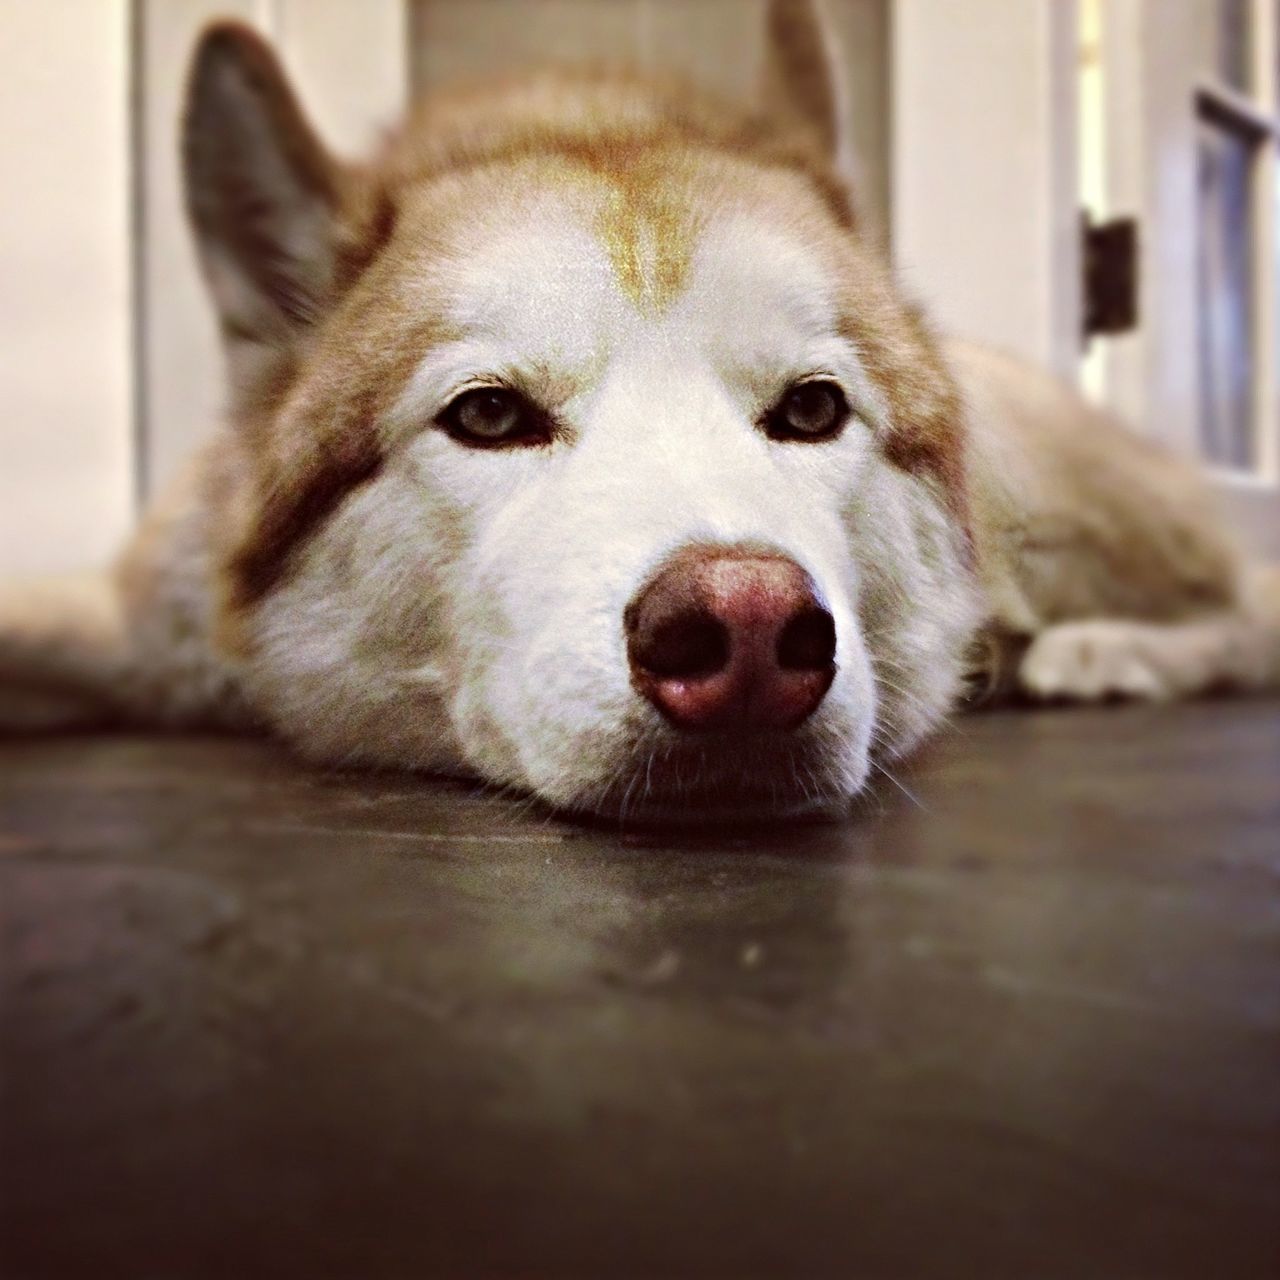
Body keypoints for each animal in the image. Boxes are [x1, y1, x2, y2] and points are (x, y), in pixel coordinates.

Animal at [0, 2, 1274, 819]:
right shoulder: (144, 613)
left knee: (1243, 599)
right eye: (488, 416)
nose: (750, 630)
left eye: (812, 409)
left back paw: (1105, 651)